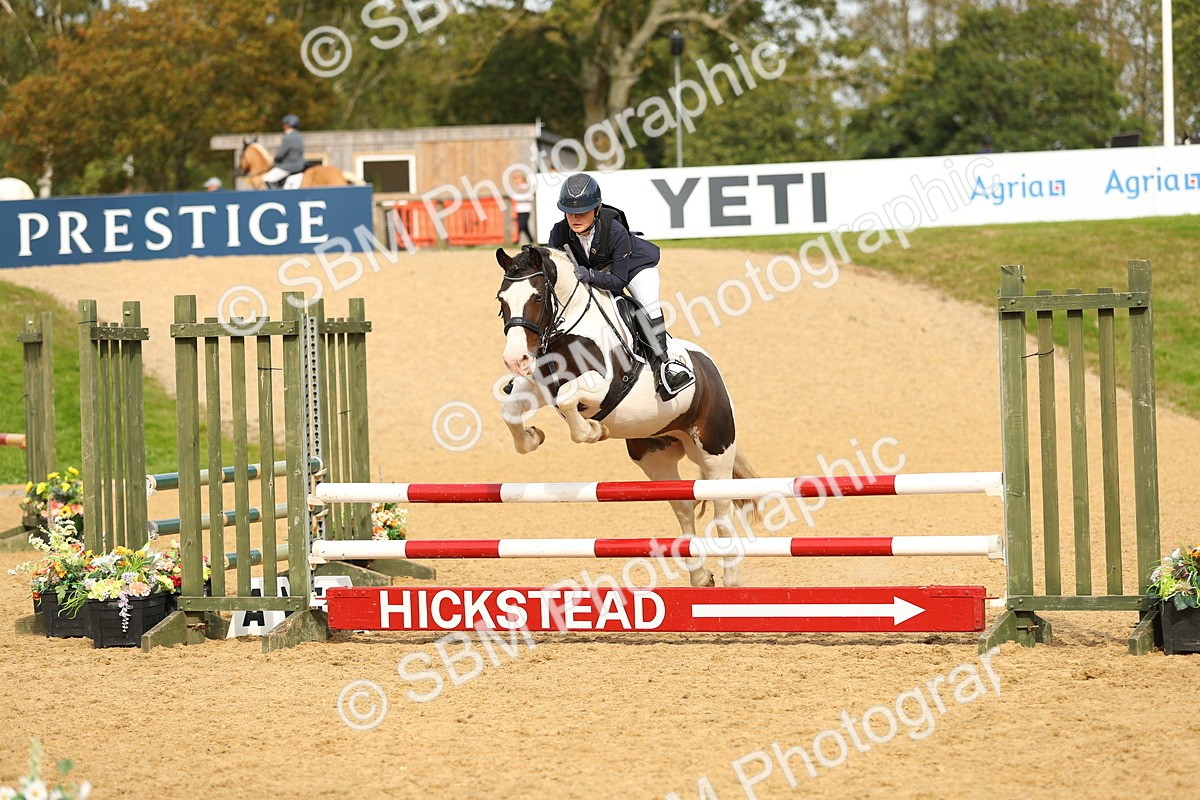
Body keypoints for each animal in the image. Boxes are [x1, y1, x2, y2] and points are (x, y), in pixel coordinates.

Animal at [495, 244, 759, 588]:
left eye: (538, 297)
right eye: (501, 300)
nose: (516, 360)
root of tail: (710, 369)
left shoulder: (604, 386)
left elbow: (569, 400)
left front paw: (595, 431)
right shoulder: (540, 387)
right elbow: (511, 410)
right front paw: (533, 437)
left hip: (715, 451)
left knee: (722, 509)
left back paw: (731, 577)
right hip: (655, 457)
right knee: (683, 505)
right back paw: (700, 576)